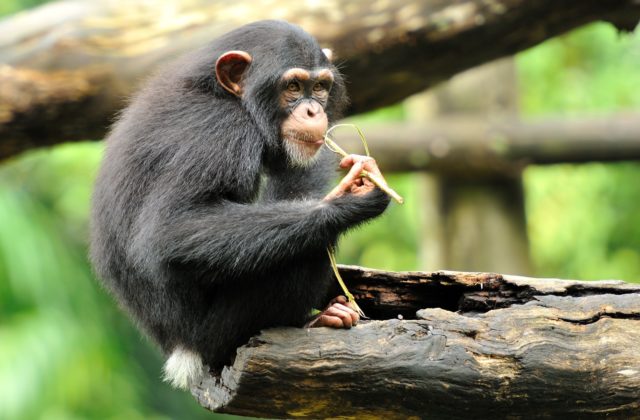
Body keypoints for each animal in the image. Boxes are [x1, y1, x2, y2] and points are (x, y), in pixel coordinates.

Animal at [90, 18, 390, 388]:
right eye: (293, 86)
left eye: (320, 87)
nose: (313, 110)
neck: (229, 98)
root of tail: (181, 351)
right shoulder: (220, 134)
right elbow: (173, 227)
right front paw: (349, 200)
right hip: (217, 335)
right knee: (312, 245)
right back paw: (317, 319)